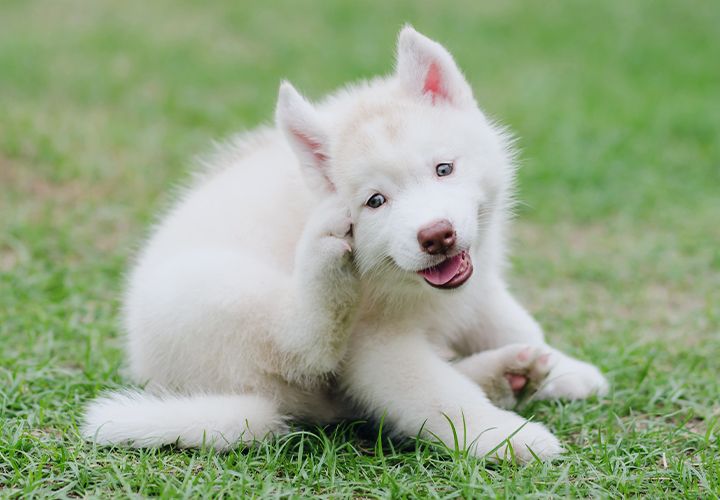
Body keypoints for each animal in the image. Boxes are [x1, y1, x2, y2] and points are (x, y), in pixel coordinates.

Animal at [87, 25, 612, 462]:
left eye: (443, 169)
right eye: (375, 201)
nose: (436, 235)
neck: (406, 286)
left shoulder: (477, 285)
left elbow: (514, 322)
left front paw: (563, 367)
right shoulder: (377, 345)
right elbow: (437, 395)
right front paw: (505, 436)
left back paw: (507, 375)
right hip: (212, 291)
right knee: (302, 346)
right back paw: (324, 264)